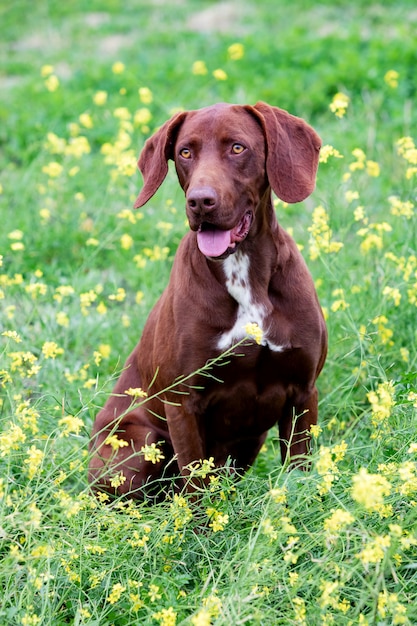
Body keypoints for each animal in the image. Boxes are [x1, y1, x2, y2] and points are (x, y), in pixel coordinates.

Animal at [88, 102, 326, 498]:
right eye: (185, 152)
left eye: (238, 148)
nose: (200, 200)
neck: (243, 272)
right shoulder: (183, 403)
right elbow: (197, 490)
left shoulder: (302, 393)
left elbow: (299, 472)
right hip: (138, 443)